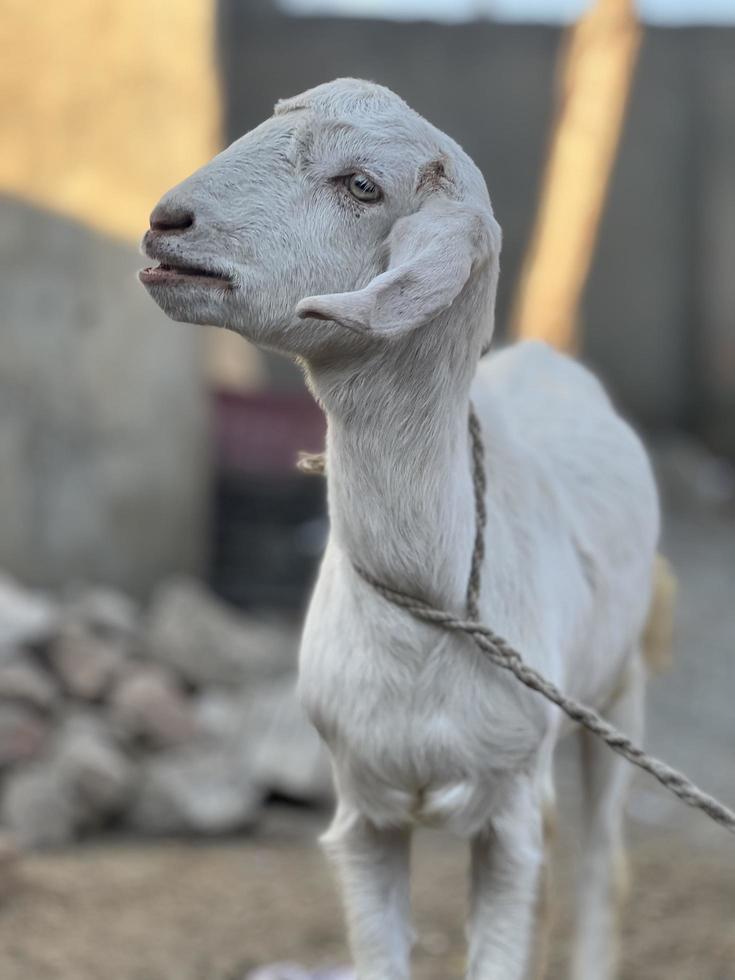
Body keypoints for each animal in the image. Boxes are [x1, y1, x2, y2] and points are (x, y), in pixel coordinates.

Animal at [141, 78, 664, 980]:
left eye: (362, 186)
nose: (168, 222)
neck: (430, 598)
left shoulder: (506, 810)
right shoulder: (364, 811)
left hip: (617, 692)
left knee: (601, 865)